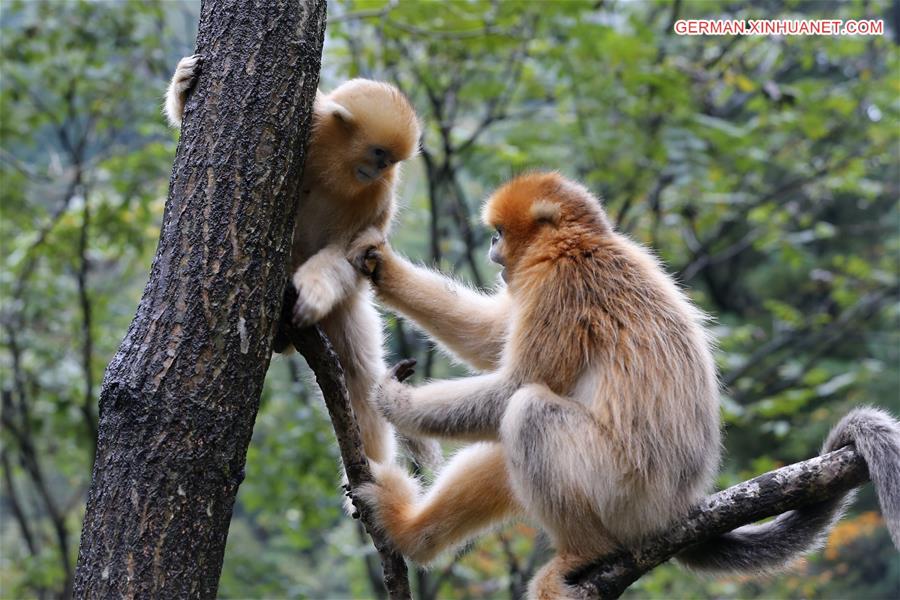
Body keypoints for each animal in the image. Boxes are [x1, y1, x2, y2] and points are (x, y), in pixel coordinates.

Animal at [164, 55, 442, 470]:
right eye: (380, 154)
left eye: (390, 161)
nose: (383, 170)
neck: (337, 167)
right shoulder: (309, 125)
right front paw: (184, 81)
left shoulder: (378, 194)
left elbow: (351, 255)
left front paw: (313, 291)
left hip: (344, 308)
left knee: (359, 374)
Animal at [348, 171, 900, 598]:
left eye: (500, 232)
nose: (491, 248)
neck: (582, 243)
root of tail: (679, 508)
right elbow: (491, 335)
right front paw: (383, 267)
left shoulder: (561, 282)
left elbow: (515, 385)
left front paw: (396, 403)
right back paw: (410, 533)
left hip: (624, 493)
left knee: (527, 412)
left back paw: (582, 553)